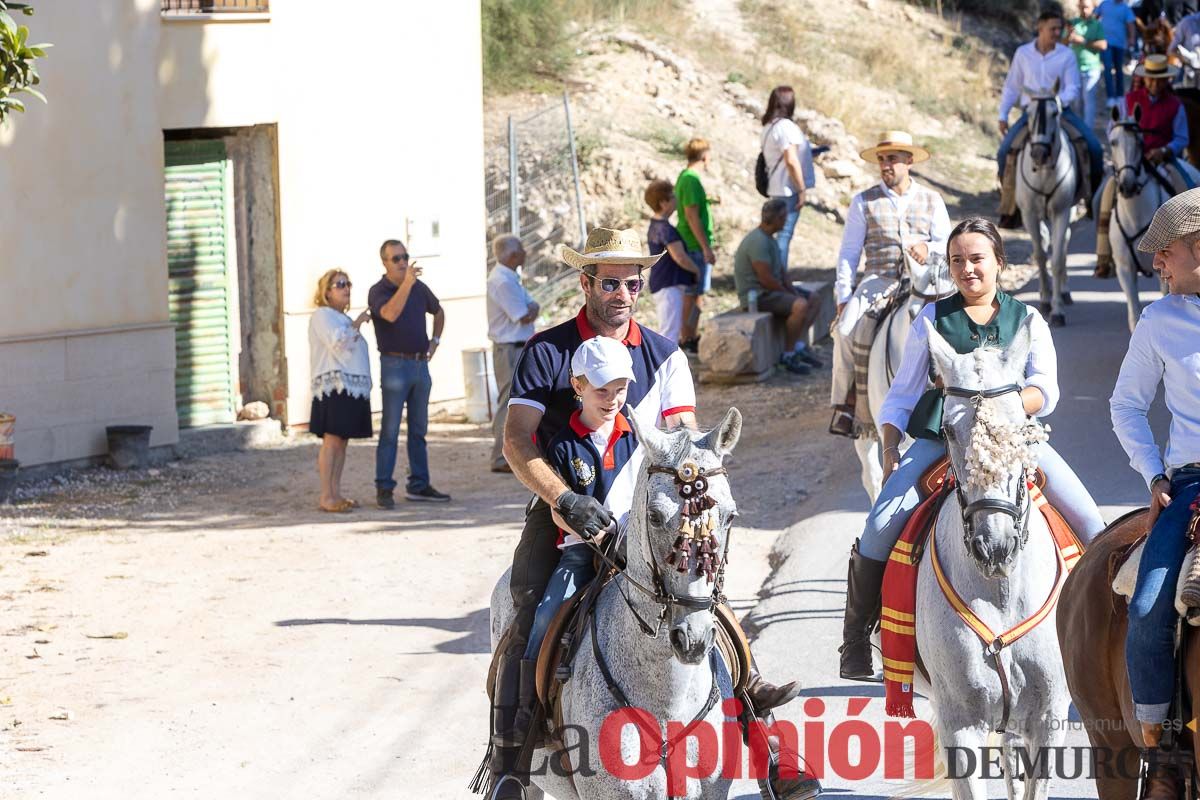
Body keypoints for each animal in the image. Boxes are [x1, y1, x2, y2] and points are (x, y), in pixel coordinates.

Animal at [1017, 92, 1084, 331]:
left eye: (1055, 113)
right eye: (1027, 112)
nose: (1038, 154)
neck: (1044, 173)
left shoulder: (1061, 212)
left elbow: (1055, 259)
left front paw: (1057, 310)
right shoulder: (1029, 214)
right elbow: (1039, 255)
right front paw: (1045, 300)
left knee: (1063, 244)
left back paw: (1064, 292)